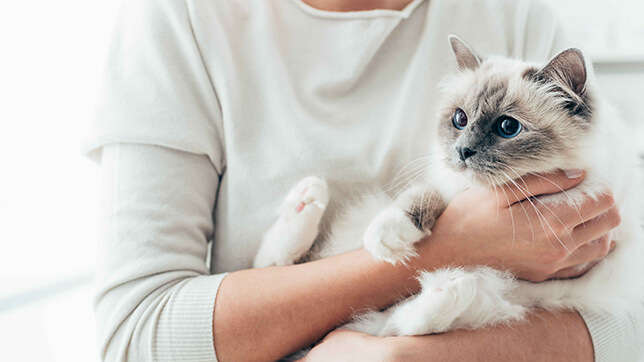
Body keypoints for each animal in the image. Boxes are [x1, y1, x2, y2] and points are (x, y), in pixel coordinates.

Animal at [253, 35, 644, 338]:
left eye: (508, 127)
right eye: (460, 119)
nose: (462, 151)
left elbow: (405, 325)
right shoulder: (448, 184)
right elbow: (419, 198)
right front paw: (389, 238)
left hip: (511, 298)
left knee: (403, 324)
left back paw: (450, 287)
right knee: (278, 263)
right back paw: (307, 198)